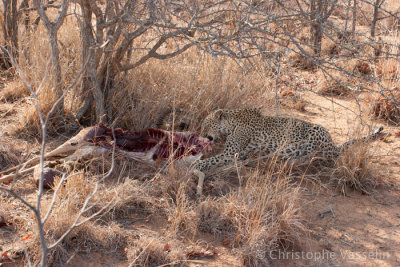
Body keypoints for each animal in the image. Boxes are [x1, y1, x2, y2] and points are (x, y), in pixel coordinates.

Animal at [194, 108, 384, 196]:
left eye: (206, 125)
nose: (200, 134)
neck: (231, 123)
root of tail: (332, 143)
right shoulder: (234, 151)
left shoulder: (231, 152)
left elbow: (209, 160)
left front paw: (196, 164)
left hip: (306, 140)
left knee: (310, 157)